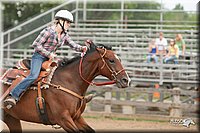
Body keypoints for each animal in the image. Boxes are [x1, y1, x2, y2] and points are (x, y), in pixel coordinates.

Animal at [0, 42, 131, 132]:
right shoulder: (63, 119)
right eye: (111, 60)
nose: (126, 80)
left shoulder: (77, 118)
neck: (69, 81)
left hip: (11, 118)